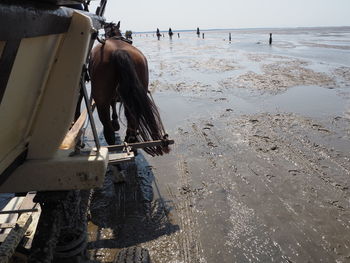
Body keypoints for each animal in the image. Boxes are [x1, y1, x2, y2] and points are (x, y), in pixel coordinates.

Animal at [85, 22, 168, 157]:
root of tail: (119, 51)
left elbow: (113, 105)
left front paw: (115, 123)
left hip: (101, 100)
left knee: (108, 130)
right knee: (132, 120)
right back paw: (131, 142)